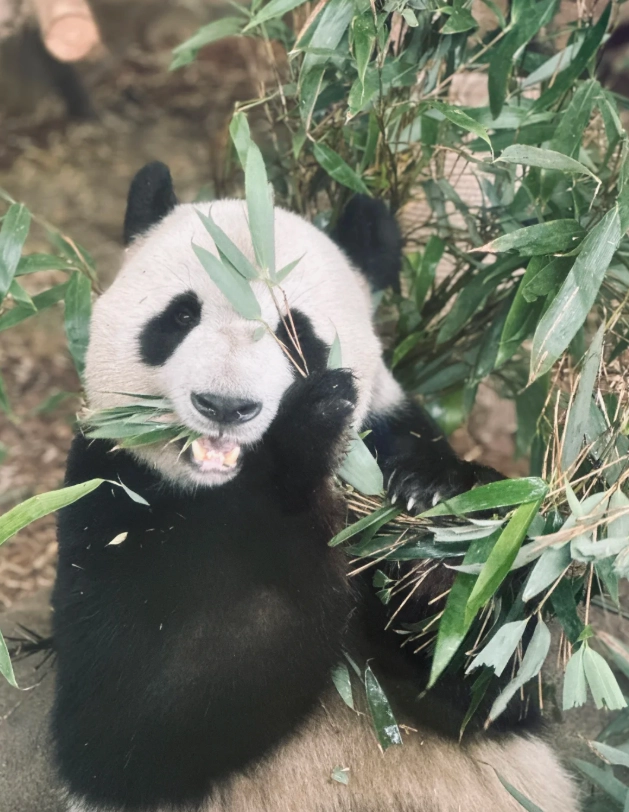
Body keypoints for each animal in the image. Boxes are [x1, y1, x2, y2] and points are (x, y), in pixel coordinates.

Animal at [50, 162, 579, 812]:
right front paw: (303, 435)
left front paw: (435, 522)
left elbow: (489, 686)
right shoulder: (107, 499)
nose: (225, 406)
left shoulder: (390, 434)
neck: (214, 492)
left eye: (293, 332)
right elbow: (134, 718)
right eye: (180, 317)